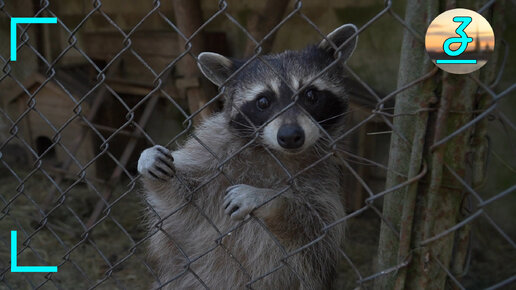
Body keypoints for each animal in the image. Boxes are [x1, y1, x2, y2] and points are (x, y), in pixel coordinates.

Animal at [139, 23, 360, 288]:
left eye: (310, 95)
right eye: (263, 101)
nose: (290, 136)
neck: (274, 152)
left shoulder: (323, 175)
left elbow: (318, 225)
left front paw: (268, 198)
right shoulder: (216, 150)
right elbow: (182, 200)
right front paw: (150, 161)